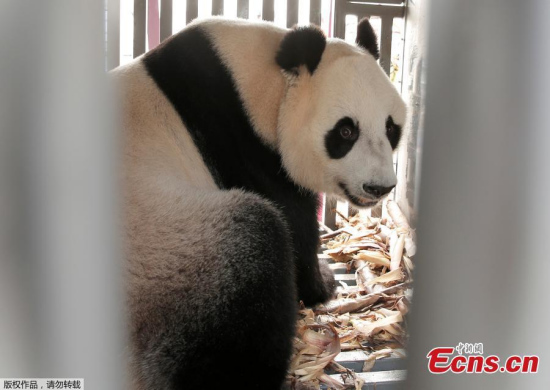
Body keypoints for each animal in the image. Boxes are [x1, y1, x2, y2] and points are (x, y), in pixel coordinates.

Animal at [113, 15, 406, 390]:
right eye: (345, 132)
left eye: (391, 128)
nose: (379, 187)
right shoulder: (244, 148)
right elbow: (295, 226)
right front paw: (324, 283)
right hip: (167, 249)